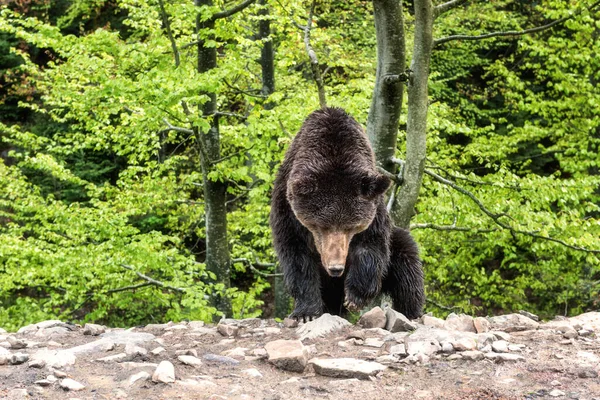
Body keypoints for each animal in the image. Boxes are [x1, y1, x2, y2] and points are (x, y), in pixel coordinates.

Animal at [270, 108, 424, 320]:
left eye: (351, 227)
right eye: (320, 226)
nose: (336, 269)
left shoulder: (374, 209)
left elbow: (370, 246)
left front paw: (355, 297)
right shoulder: (287, 211)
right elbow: (297, 257)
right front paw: (306, 312)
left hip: (396, 250)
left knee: (406, 268)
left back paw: (411, 312)